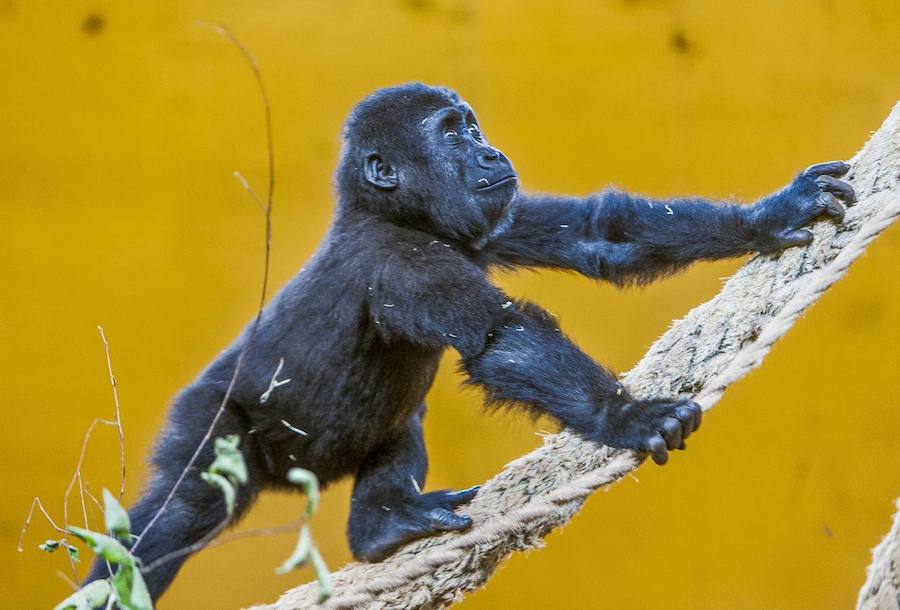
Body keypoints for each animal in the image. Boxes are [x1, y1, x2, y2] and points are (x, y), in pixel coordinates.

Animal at [84, 81, 856, 600]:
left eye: (472, 126)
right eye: (451, 134)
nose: (489, 149)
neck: (392, 211)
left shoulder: (484, 224)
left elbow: (603, 235)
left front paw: (773, 215)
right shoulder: (402, 259)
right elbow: (499, 336)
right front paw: (627, 417)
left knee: (402, 425)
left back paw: (382, 526)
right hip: (212, 418)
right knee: (179, 511)